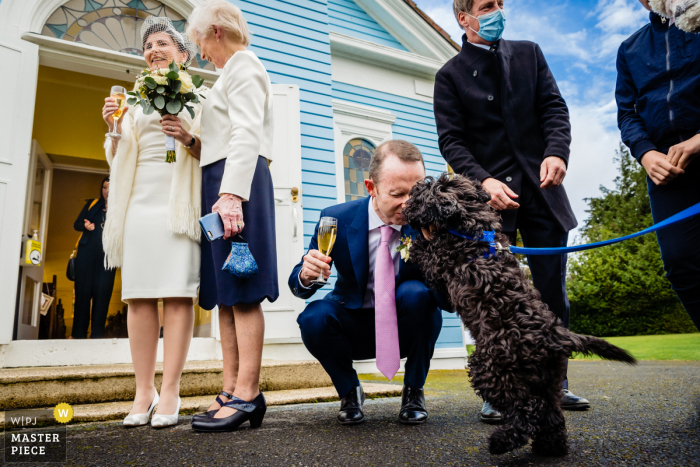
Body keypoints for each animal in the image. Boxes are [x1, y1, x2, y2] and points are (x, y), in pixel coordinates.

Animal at [402, 174, 636, 456]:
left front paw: (414, 244)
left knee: (527, 411)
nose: (404, 210)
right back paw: (550, 448)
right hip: (547, 379)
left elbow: (426, 251)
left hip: (493, 370)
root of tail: (557, 337)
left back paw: (502, 442)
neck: (473, 226)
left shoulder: (439, 264)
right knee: (551, 414)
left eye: (419, 196)